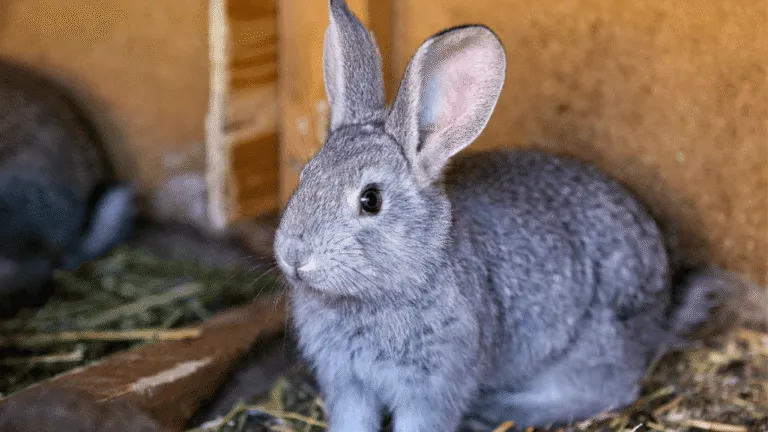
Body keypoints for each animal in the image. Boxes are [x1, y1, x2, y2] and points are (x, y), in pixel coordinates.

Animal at [273, 1, 758, 431]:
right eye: (305, 175)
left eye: (370, 200)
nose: (294, 256)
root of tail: (661, 313)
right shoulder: (348, 385)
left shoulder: (433, 386)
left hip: (591, 346)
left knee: (607, 391)